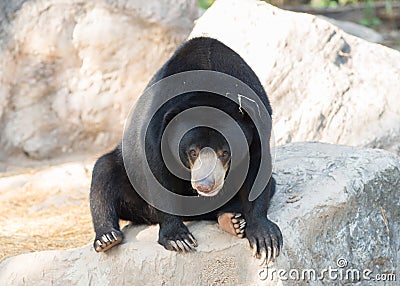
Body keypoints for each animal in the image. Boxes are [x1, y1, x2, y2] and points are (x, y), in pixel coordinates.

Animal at [89, 36, 282, 264]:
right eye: (193, 152)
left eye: (225, 152)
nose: (204, 185)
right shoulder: (158, 123)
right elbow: (157, 172)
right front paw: (178, 239)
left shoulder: (259, 120)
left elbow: (258, 172)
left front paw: (265, 238)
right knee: (103, 174)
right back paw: (107, 237)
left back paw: (232, 221)